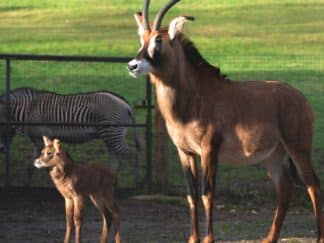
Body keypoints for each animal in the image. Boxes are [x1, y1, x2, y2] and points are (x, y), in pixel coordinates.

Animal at [0, 87, 142, 186]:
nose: (2, 149)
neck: (29, 110)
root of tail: (127, 104)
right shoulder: (37, 140)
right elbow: (31, 165)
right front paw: (27, 185)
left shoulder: (39, 139)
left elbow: (46, 165)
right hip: (111, 136)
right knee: (115, 161)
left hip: (113, 134)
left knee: (132, 156)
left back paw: (137, 184)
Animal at [127, 0, 324, 243]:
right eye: (141, 37)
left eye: (158, 40)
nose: (132, 66)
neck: (194, 96)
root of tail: (302, 99)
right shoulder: (185, 151)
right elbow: (191, 195)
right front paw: (193, 238)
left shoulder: (209, 149)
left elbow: (207, 194)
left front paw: (208, 239)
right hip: (273, 155)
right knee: (285, 188)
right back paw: (269, 238)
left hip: (298, 147)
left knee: (313, 184)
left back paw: (319, 237)